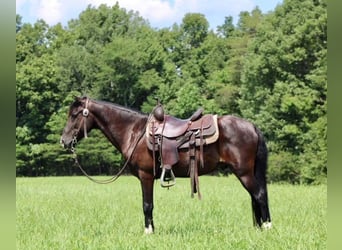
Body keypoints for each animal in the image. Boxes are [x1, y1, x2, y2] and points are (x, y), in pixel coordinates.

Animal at [60, 96, 272, 233]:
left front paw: (148, 232)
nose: (64, 141)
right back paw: (260, 227)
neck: (134, 132)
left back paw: (268, 227)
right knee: (255, 196)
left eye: (75, 115)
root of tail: (252, 126)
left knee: (259, 195)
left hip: (244, 172)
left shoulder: (145, 176)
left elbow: (147, 205)